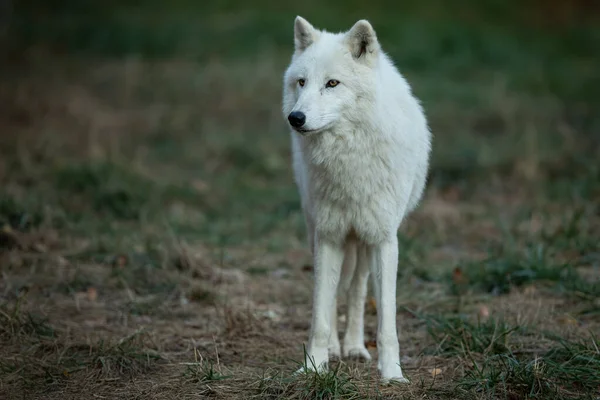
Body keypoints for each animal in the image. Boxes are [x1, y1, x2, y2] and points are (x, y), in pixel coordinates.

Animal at [282, 17, 432, 382]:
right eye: (302, 82)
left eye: (332, 83)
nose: (296, 118)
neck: (347, 161)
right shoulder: (328, 236)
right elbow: (321, 314)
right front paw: (313, 366)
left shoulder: (384, 239)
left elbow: (387, 320)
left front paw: (392, 374)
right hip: (320, 231)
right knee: (338, 289)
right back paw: (338, 348)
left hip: (363, 240)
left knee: (357, 289)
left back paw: (354, 347)